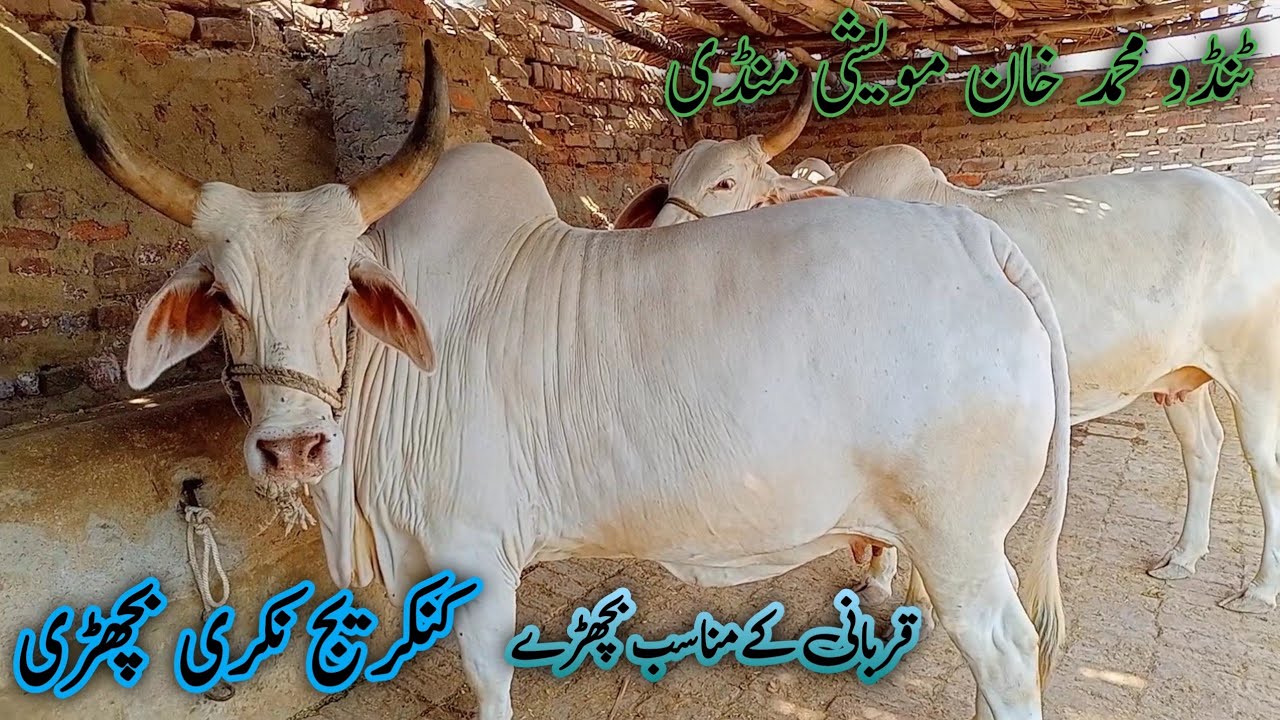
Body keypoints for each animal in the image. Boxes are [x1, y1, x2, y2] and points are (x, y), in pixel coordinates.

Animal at [64, 29, 1071, 720]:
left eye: (340, 295)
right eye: (222, 298)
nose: (294, 448)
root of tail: (978, 238)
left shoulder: (476, 562)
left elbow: (489, 683)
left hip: (958, 541)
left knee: (1006, 653)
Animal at [625, 127, 1280, 620]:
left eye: (726, 181)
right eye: (672, 179)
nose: (650, 256)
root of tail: (1252, 204)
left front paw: (901, 586)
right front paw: (883, 576)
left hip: (1253, 374)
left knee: (1262, 465)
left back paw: (1259, 588)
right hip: (1180, 378)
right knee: (1204, 449)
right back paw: (1183, 557)